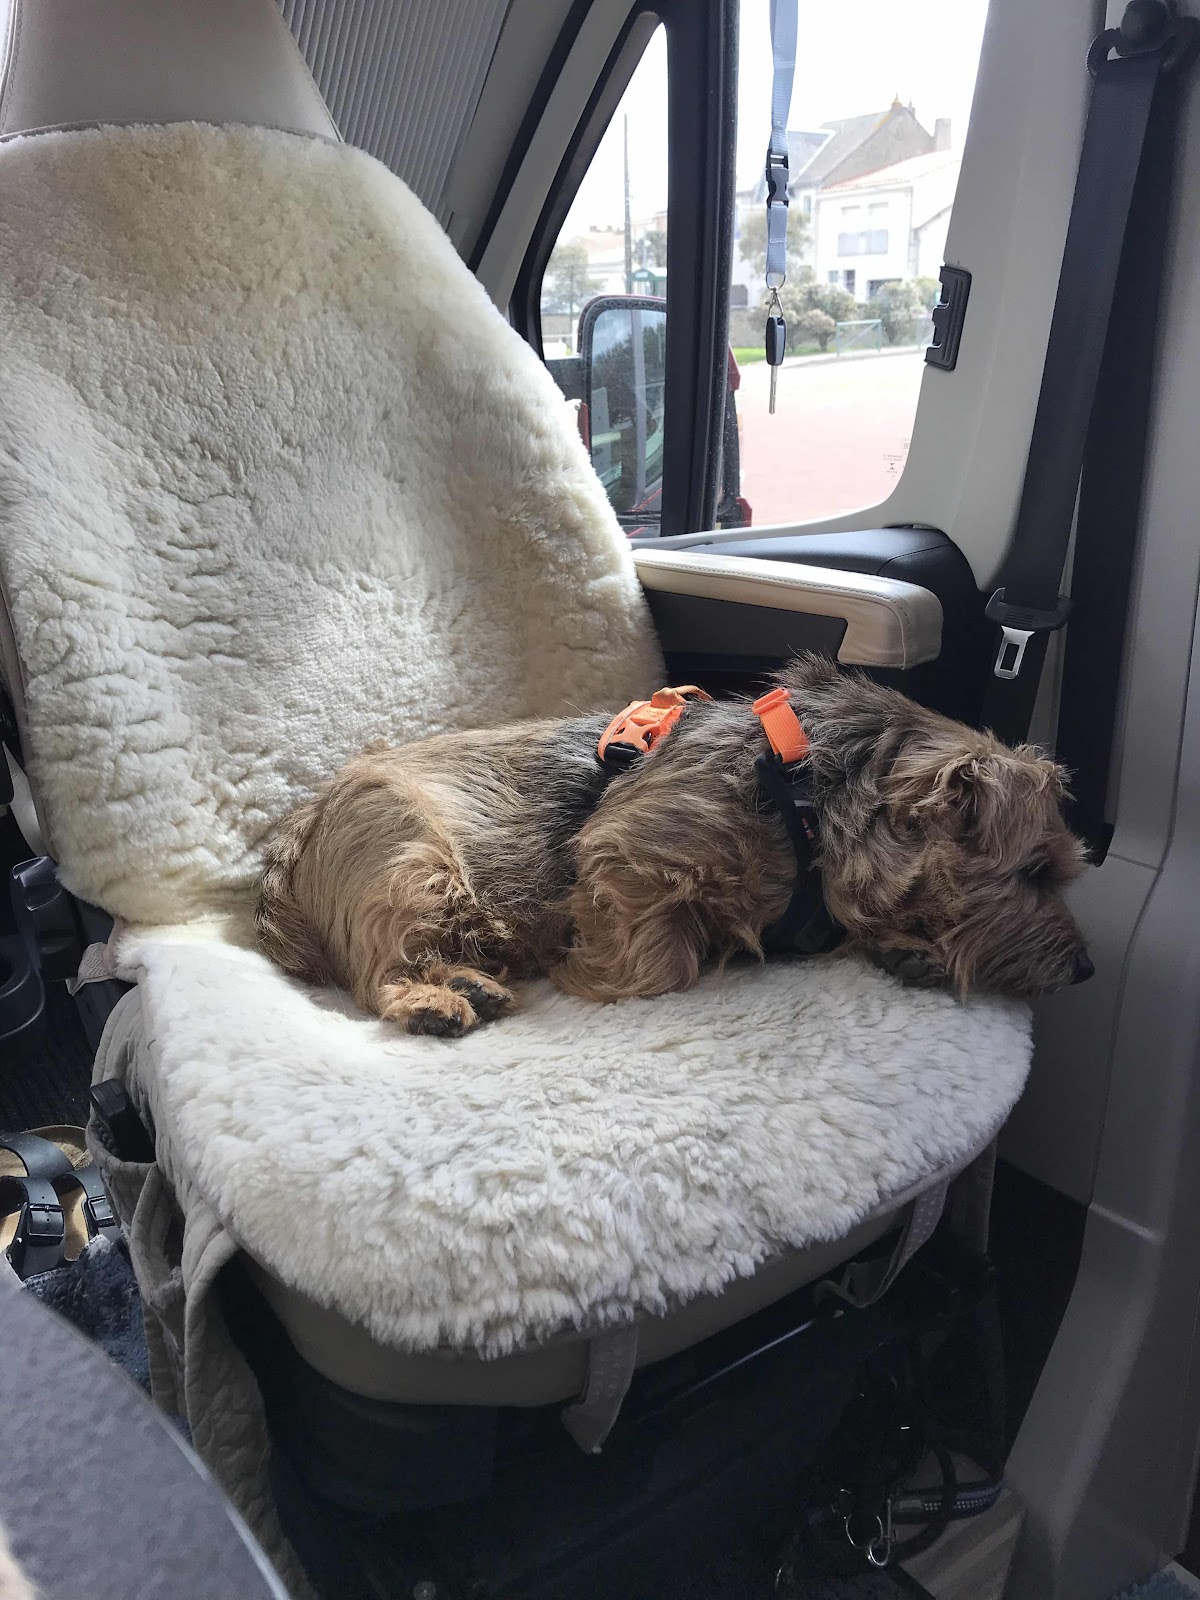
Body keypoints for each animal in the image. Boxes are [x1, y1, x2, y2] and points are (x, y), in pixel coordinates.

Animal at [256, 655, 1092, 1035]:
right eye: (1035, 871)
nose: (1087, 969)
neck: (810, 795)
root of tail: (297, 831)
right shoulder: (629, 855)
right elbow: (662, 961)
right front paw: (586, 969)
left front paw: (904, 948)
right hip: (409, 863)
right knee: (379, 972)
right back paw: (440, 994)